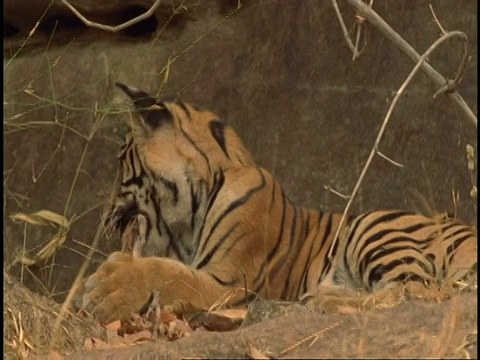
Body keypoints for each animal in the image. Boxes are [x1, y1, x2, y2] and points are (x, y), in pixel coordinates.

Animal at [78, 83, 476, 324]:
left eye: (120, 161)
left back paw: (322, 300)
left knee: (414, 291)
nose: (104, 215)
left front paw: (105, 288)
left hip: (373, 226)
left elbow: (166, 272)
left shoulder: (229, 282)